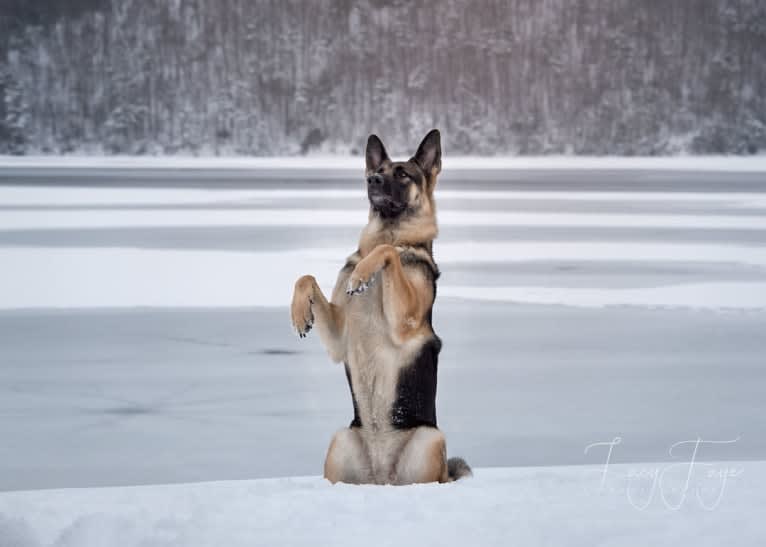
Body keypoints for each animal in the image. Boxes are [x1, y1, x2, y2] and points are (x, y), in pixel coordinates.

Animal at [292, 131, 472, 486]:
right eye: (378, 171)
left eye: (402, 174)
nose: (371, 180)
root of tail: (381, 477)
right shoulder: (339, 340)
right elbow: (305, 277)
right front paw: (299, 312)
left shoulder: (406, 321)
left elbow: (387, 251)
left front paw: (364, 271)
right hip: (340, 440)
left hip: (430, 438)